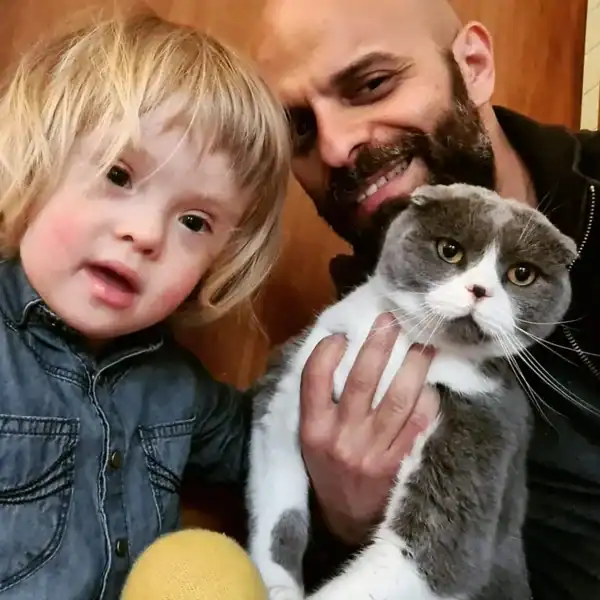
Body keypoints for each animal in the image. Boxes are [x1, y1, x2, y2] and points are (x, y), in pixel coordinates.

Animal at [247, 183, 577, 600]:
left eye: (522, 274)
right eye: (450, 250)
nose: (480, 289)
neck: (408, 344)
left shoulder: (483, 419)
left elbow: (437, 556)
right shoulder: (302, 362)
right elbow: (279, 494)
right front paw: (276, 586)